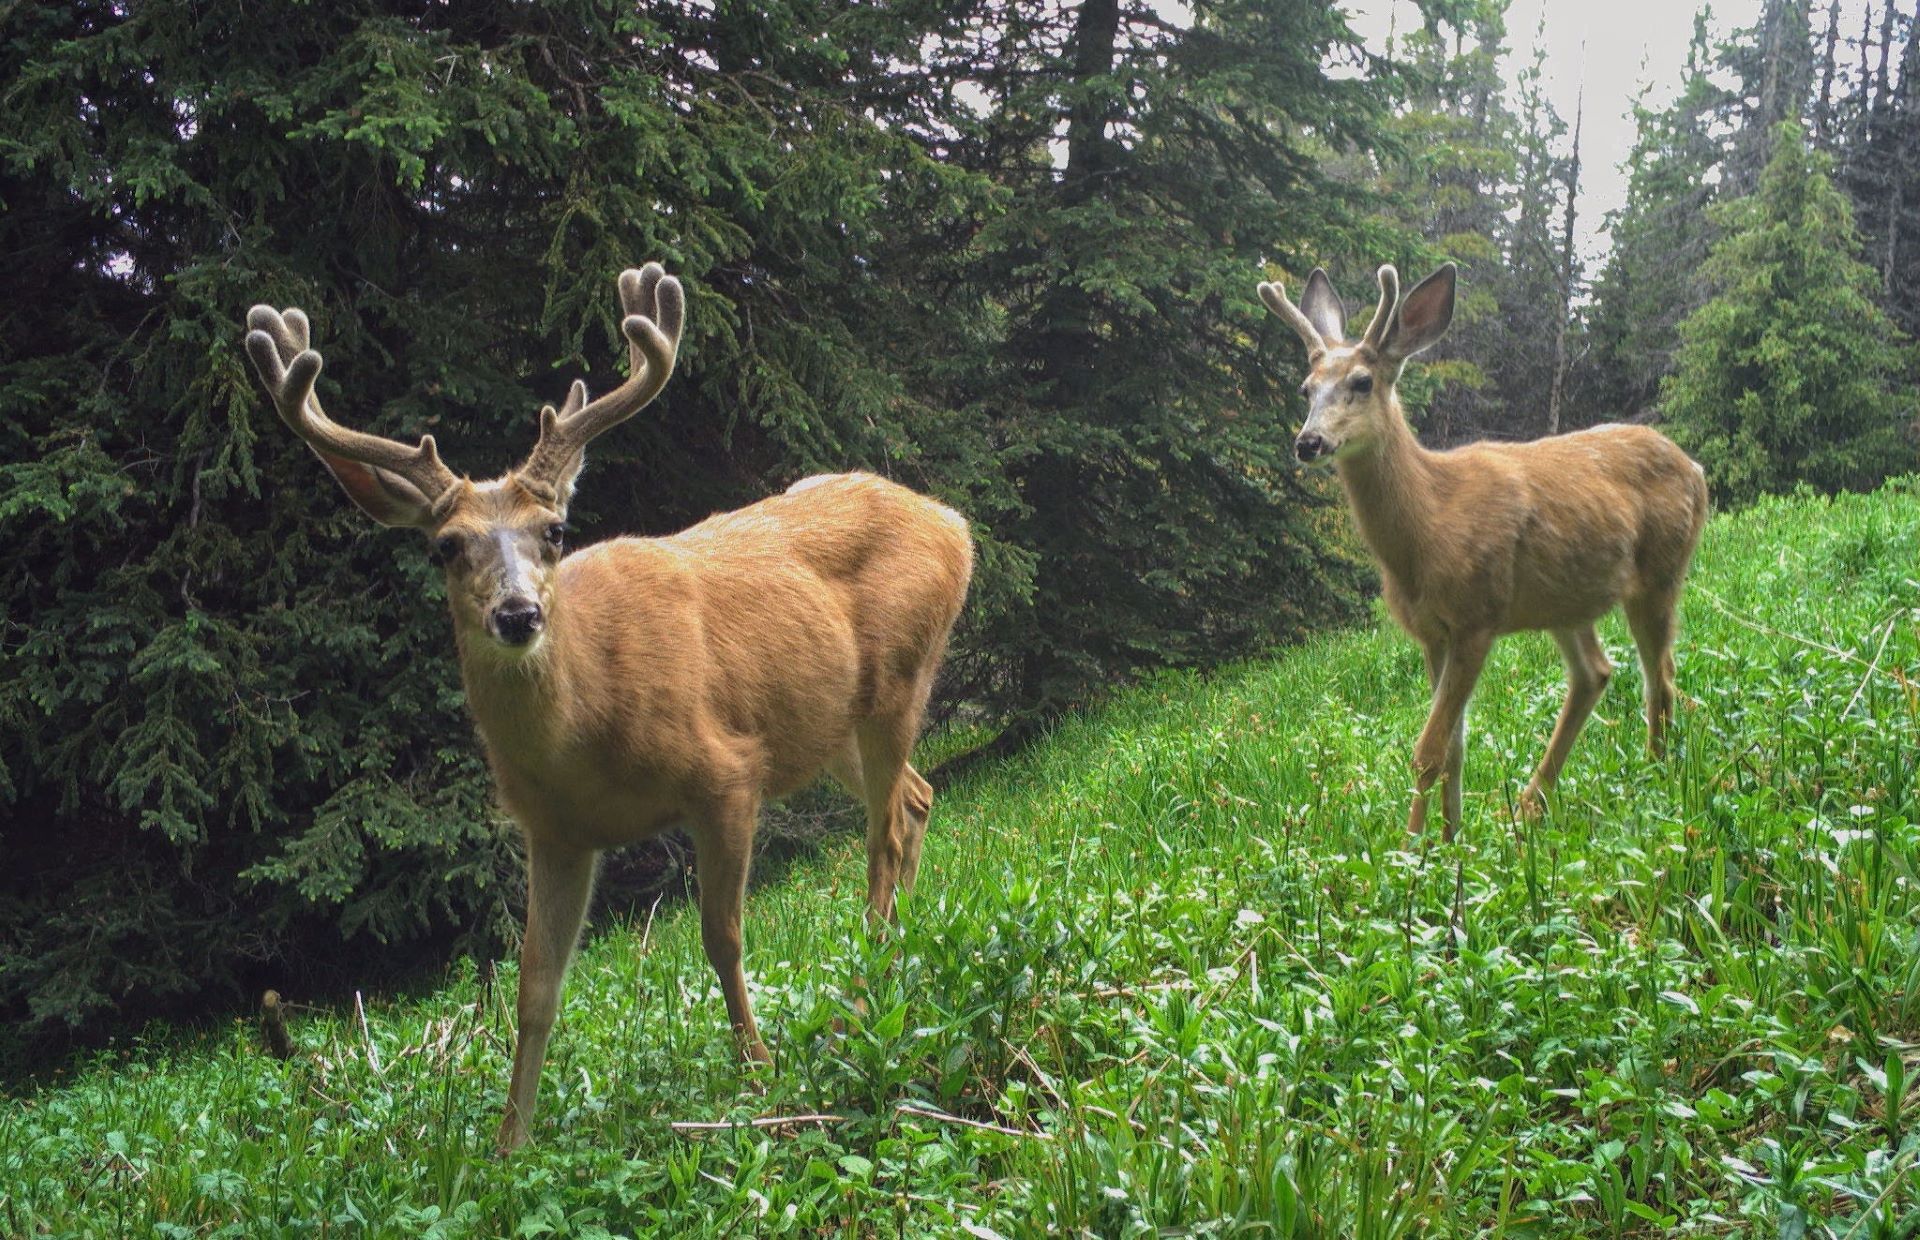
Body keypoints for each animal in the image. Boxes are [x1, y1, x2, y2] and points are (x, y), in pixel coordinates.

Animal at [245, 262, 975, 1159]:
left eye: (554, 530)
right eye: (445, 546)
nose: (518, 614)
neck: (587, 735)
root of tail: (952, 521)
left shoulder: (726, 774)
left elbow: (721, 936)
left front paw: (758, 1069)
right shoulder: (554, 832)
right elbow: (534, 987)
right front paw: (507, 1145)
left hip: (901, 673)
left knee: (885, 832)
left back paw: (864, 990)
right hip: (832, 722)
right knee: (917, 795)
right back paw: (896, 948)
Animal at [1259, 266, 1712, 840]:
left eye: (1362, 382)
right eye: (1306, 388)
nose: (1309, 442)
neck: (1428, 526)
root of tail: (1695, 468)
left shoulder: (1477, 617)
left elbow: (1429, 750)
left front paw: (1411, 846)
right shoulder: (1432, 632)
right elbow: (1453, 748)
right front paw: (1452, 837)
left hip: (1661, 572)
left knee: (1662, 676)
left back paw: (1654, 773)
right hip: (1567, 601)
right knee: (1595, 672)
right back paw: (1529, 805)